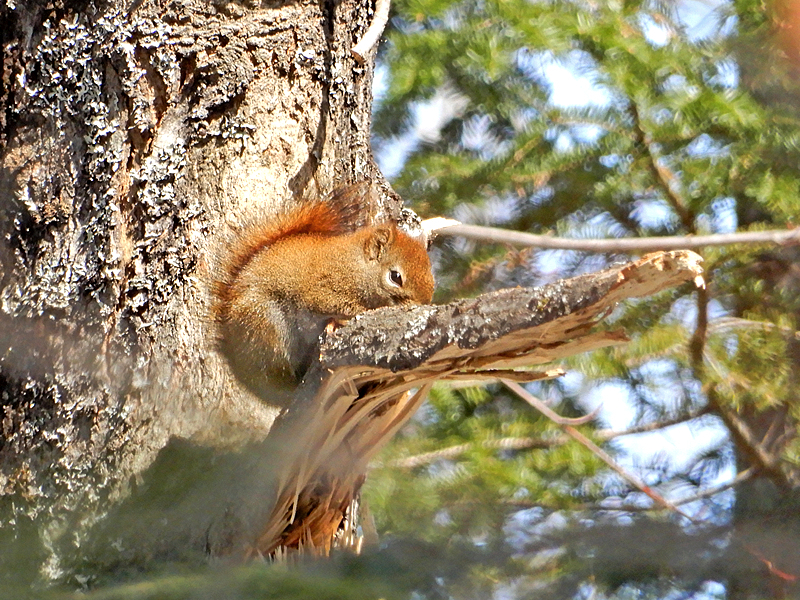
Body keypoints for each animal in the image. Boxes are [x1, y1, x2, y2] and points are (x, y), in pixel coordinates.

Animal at [212, 185, 434, 406]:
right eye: (395, 277)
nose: (420, 305)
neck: (357, 267)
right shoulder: (321, 288)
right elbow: (336, 304)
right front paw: (351, 316)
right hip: (266, 325)